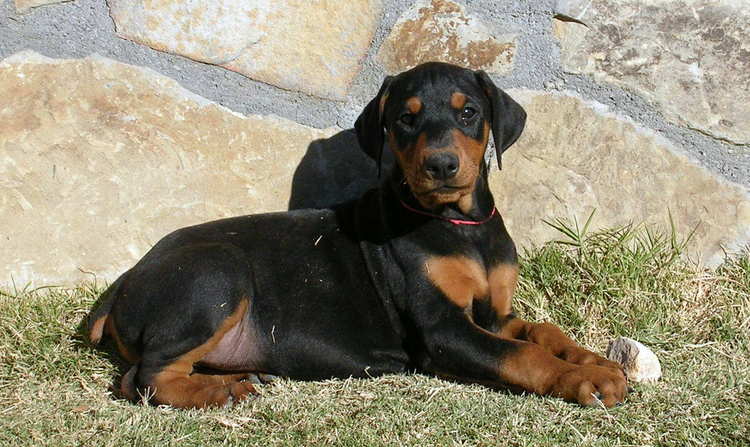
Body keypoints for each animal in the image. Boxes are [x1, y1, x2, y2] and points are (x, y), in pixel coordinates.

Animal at [86, 62, 628, 410]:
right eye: (406, 118)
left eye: (468, 112)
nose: (441, 165)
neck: (460, 224)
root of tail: (123, 283)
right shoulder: (443, 330)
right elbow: (522, 354)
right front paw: (581, 378)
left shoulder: (493, 314)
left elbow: (545, 332)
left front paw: (596, 361)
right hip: (217, 274)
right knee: (145, 377)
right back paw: (219, 391)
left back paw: (238, 376)